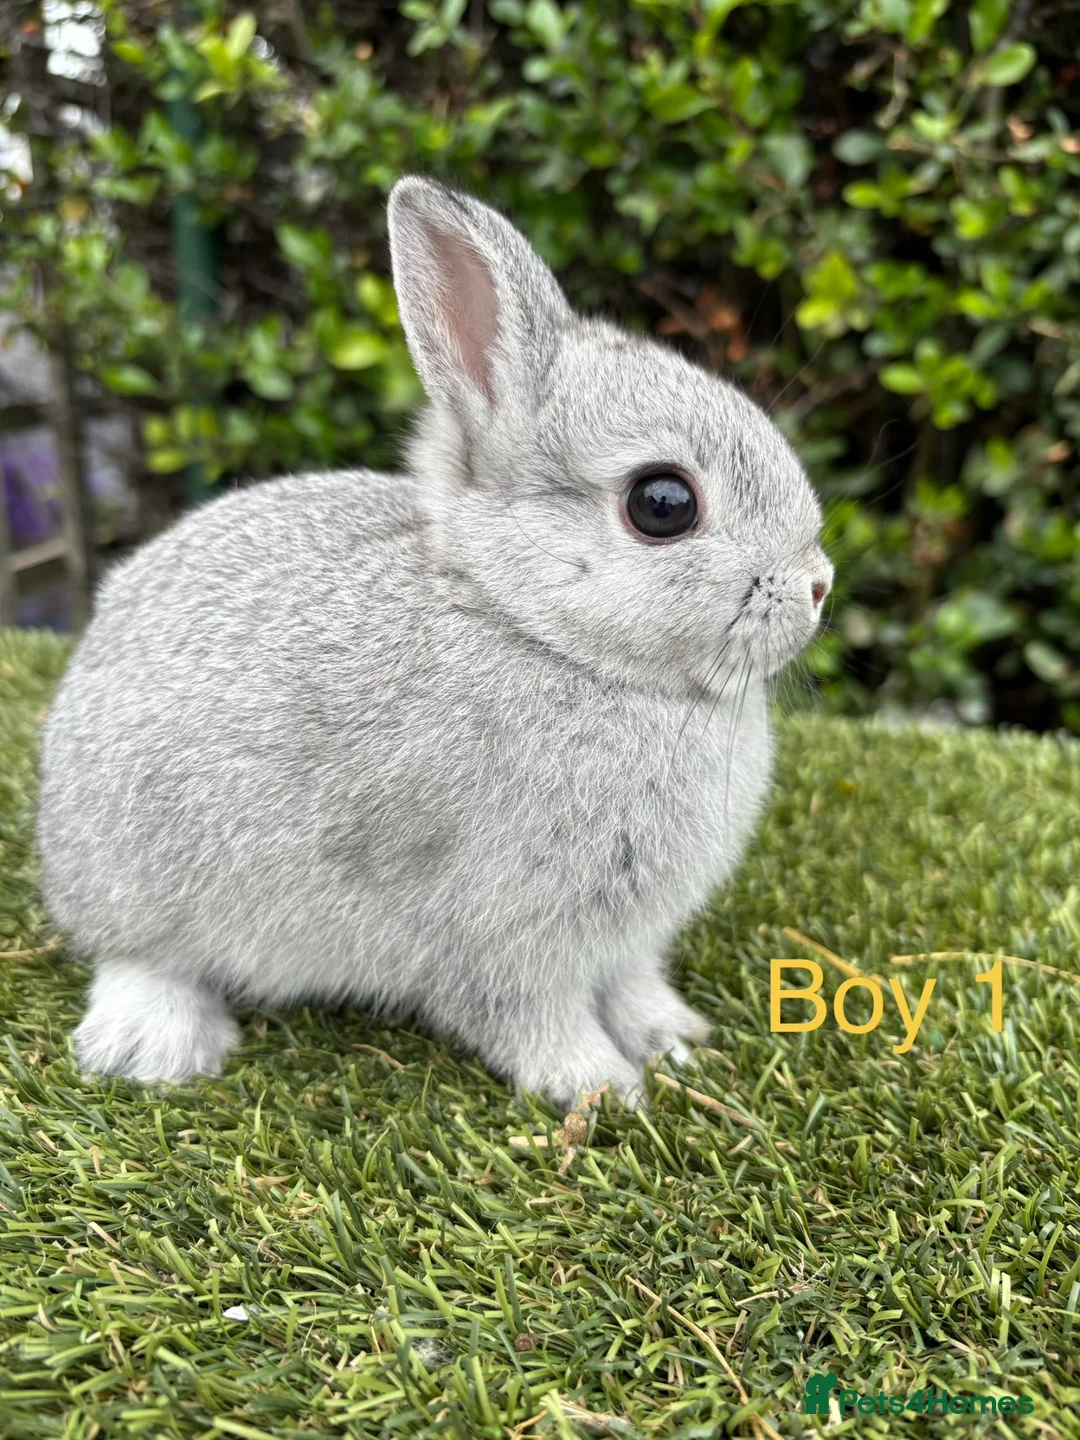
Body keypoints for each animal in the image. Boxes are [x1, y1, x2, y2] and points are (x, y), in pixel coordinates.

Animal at [35, 175, 832, 1113]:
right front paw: (601, 1091)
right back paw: (156, 1045)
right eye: (663, 503)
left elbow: (633, 986)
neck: (540, 632)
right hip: (137, 874)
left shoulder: (623, 939)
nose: (818, 585)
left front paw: (676, 1041)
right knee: (134, 956)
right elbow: (531, 1015)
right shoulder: (502, 928)